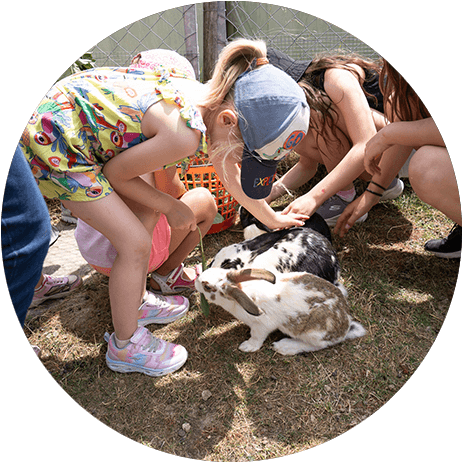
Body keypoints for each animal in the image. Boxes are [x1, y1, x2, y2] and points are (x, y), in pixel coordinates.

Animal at [196, 268, 366, 356]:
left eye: (207, 287)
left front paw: (247, 347)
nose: (197, 280)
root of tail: (345, 326)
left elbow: (256, 337)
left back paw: (284, 347)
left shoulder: (261, 326)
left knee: (316, 345)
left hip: (314, 332)